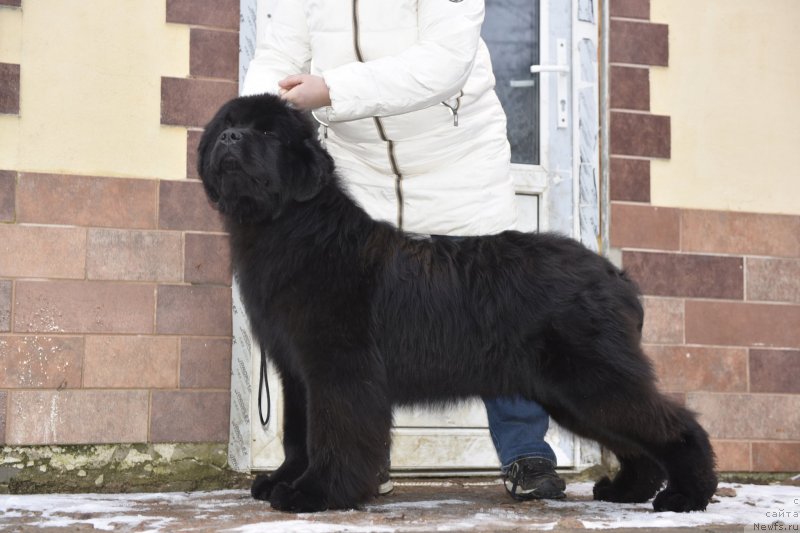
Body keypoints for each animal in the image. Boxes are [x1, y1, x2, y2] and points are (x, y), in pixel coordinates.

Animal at [195, 93, 720, 512]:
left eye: (268, 133)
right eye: (227, 124)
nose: (231, 139)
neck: (293, 228)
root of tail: (616, 276)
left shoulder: (339, 368)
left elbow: (333, 434)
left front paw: (316, 493)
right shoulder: (297, 370)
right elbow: (298, 434)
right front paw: (284, 481)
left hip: (592, 378)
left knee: (675, 426)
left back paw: (686, 496)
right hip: (571, 392)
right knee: (633, 439)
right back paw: (628, 489)